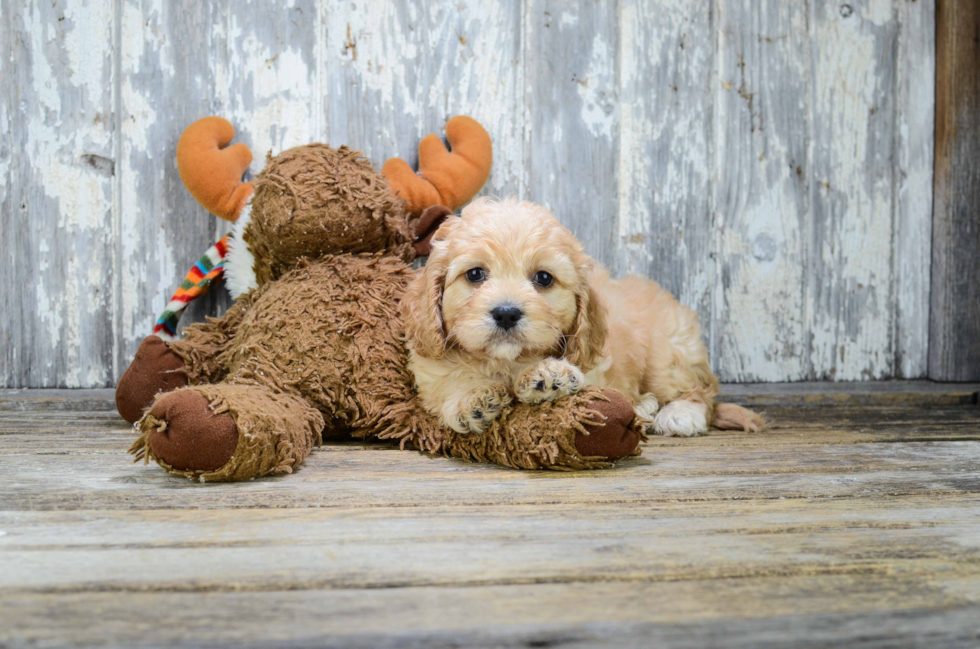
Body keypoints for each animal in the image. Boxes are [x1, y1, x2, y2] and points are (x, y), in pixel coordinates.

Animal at [400, 196, 764, 436]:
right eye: (475, 274)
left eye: (543, 278)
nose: (506, 313)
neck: (507, 361)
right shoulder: (431, 368)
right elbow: (449, 385)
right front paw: (472, 399)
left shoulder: (597, 366)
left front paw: (548, 375)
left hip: (670, 354)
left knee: (701, 391)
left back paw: (678, 414)